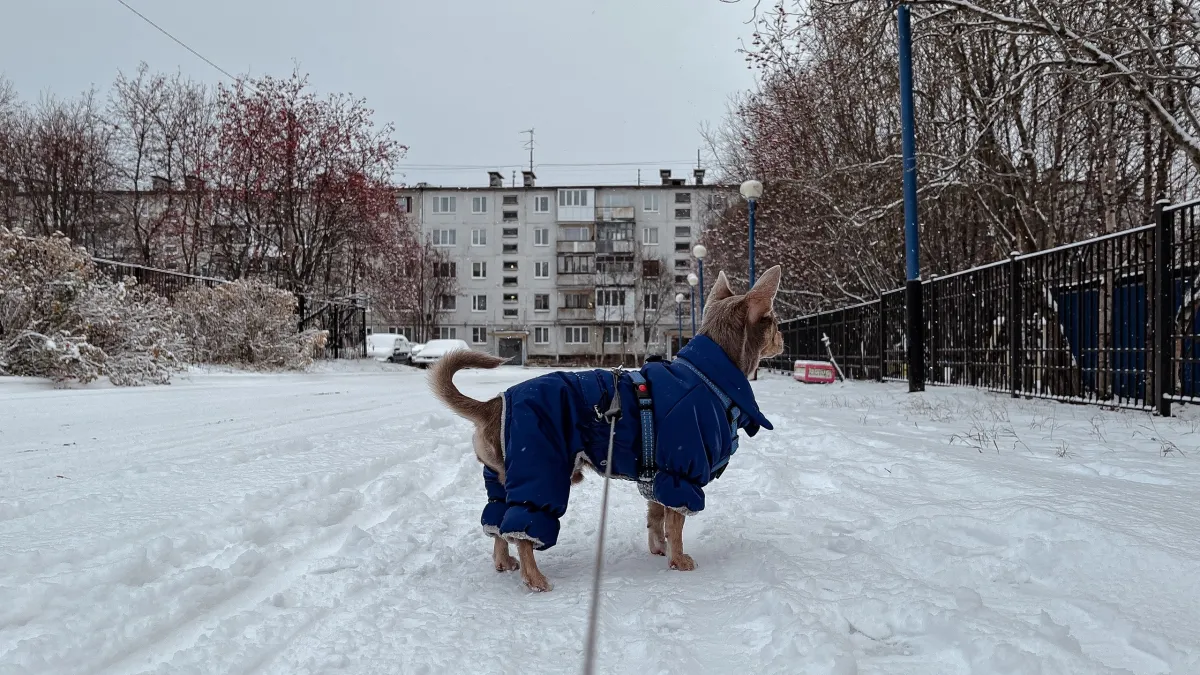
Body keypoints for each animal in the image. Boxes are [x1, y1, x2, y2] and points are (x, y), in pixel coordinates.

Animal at [432, 264, 787, 588]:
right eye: (774, 320)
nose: (783, 336)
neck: (710, 375)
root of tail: (493, 404)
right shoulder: (681, 471)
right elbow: (675, 524)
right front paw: (679, 560)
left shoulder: (656, 477)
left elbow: (656, 517)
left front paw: (658, 549)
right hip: (541, 472)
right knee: (522, 532)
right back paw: (535, 578)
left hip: (501, 482)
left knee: (497, 527)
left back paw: (504, 562)